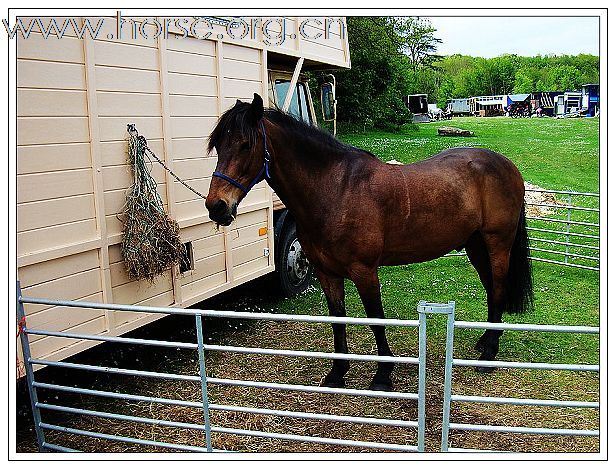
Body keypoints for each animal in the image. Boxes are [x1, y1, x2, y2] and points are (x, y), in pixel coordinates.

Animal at [205, 93, 532, 390]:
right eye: (219, 145)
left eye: (246, 145)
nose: (217, 206)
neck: (336, 190)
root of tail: (508, 166)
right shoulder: (327, 273)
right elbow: (337, 318)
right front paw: (338, 373)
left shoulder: (364, 271)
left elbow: (376, 318)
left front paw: (383, 374)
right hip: (476, 246)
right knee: (491, 289)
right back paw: (485, 341)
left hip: (497, 243)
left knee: (498, 289)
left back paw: (488, 356)